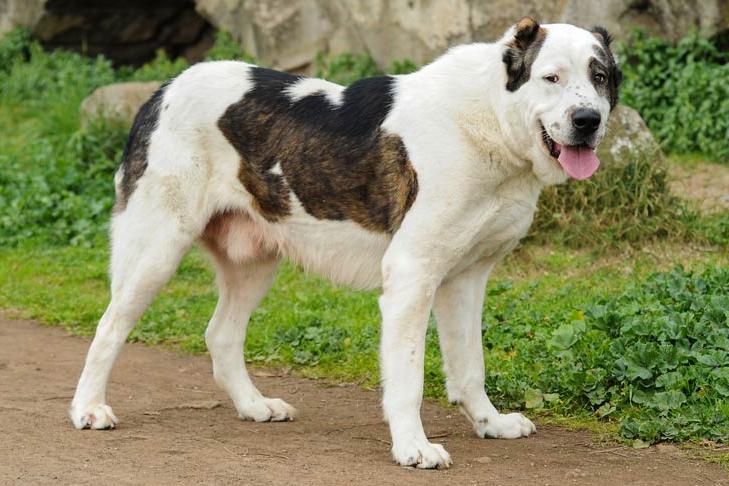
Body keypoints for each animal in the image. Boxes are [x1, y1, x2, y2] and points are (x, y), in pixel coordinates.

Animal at [71, 17, 620, 468]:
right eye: (551, 78)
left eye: (599, 77)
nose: (587, 121)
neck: (488, 119)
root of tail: (162, 90)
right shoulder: (411, 275)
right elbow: (408, 378)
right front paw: (413, 447)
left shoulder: (465, 280)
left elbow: (470, 368)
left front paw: (490, 423)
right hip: (156, 250)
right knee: (109, 326)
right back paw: (89, 409)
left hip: (254, 263)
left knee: (220, 334)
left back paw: (253, 406)